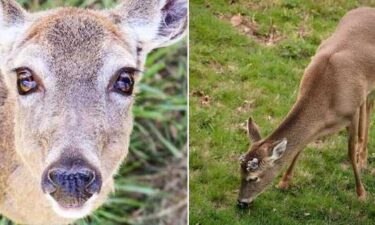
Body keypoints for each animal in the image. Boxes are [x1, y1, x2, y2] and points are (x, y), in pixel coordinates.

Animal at [238, 6, 375, 209]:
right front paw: (284, 182)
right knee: (368, 104)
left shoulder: (351, 113)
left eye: (254, 177)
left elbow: (350, 152)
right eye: (240, 172)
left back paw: (363, 160)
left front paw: (361, 193)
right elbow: (300, 147)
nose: (241, 202)